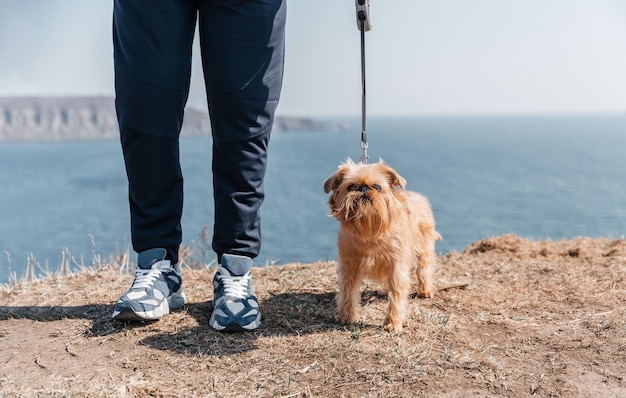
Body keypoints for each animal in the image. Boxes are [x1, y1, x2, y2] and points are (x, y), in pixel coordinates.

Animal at [324, 159, 442, 332]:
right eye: (351, 187)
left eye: (377, 187)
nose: (363, 188)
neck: (369, 232)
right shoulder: (348, 266)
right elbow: (347, 292)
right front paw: (345, 316)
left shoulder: (396, 267)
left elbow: (397, 295)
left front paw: (393, 323)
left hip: (424, 246)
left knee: (423, 269)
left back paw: (425, 290)